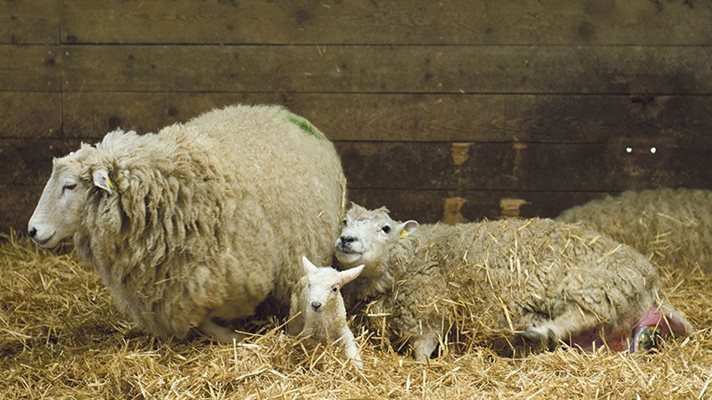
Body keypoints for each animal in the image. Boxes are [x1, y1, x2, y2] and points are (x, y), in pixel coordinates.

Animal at [27, 103, 348, 340]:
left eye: (70, 186)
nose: (32, 230)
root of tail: (283, 112)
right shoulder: (171, 289)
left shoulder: (222, 279)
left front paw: (234, 337)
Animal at [336, 203, 692, 360]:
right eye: (345, 220)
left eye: (385, 228)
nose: (346, 240)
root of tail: (649, 278)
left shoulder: (428, 309)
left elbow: (423, 346)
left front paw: (421, 364)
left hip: (595, 283)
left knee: (582, 313)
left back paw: (540, 331)